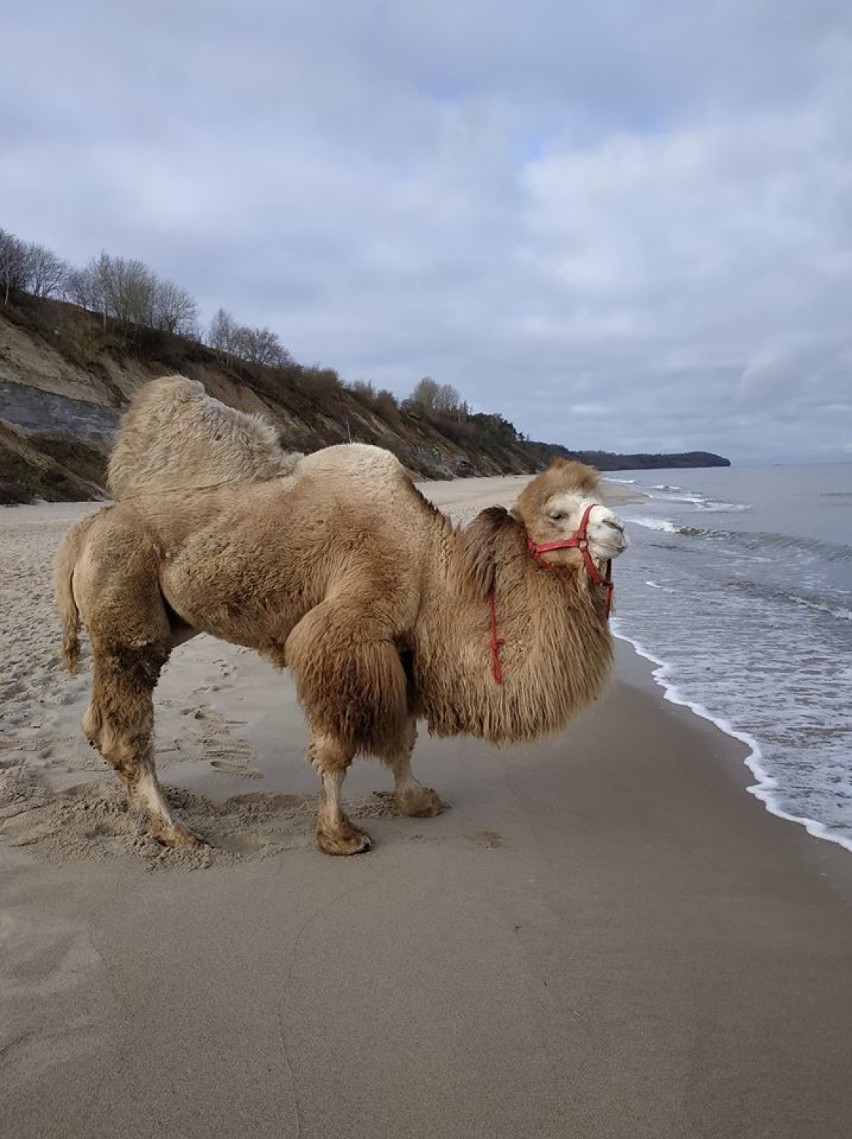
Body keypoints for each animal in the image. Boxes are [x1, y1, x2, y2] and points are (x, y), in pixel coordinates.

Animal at [51, 375, 624, 856]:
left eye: (595, 498)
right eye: (557, 513)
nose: (617, 529)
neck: (432, 565)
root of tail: (83, 531)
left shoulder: (402, 647)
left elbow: (402, 737)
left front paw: (417, 800)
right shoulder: (346, 632)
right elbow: (335, 746)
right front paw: (339, 835)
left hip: (164, 618)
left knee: (96, 722)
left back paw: (147, 817)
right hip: (125, 602)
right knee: (126, 723)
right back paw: (176, 831)